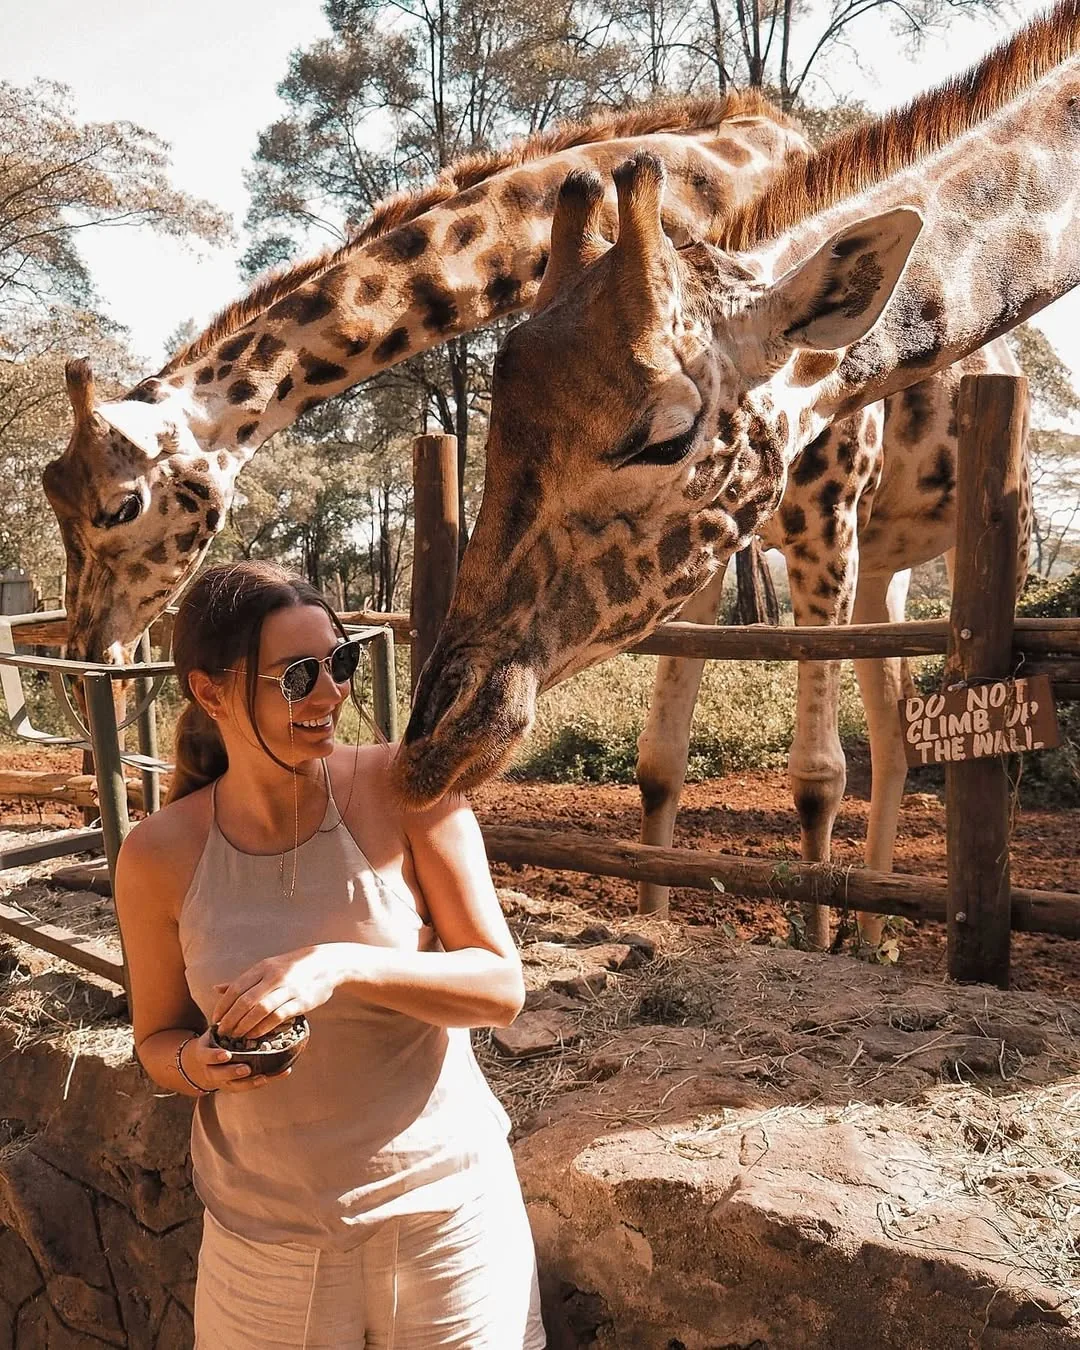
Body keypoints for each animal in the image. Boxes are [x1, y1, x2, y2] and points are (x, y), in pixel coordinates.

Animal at [394, 0, 1078, 902]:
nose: (432, 746)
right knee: (895, 736)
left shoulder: (827, 537)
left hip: (971, 543)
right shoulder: (720, 553)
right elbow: (659, 762)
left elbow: (818, 777)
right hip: (884, 571)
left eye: (666, 437)